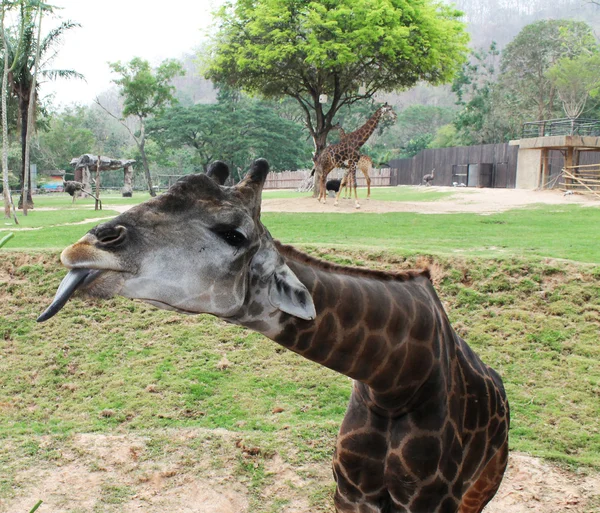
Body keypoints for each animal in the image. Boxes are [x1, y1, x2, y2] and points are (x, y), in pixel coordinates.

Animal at [39, 158, 510, 512]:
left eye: (234, 234)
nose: (83, 247)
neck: (396, 381)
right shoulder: (349, 492)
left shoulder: (431, 502)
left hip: (481, 489)